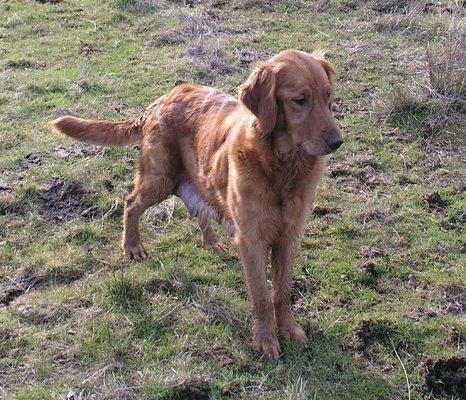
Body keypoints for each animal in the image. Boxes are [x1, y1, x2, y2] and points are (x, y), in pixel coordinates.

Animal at [49, 48, 342, 358]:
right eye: (300, 100)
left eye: (328, 96)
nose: (338, 142)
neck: (281, 165)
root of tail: (162, 99)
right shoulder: (252, 239)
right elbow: (262, 296)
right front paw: (265, 340)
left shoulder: (289, 235)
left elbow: (282, 291)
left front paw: (289, 329)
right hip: (159, 178)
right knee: (131, 204)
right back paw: (132, 246)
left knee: (199, 210)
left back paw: (211, 242)